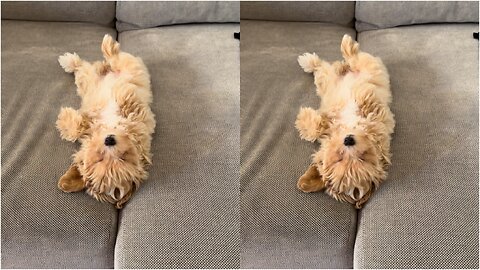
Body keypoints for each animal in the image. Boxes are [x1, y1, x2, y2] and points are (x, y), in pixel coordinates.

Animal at [55, 34, 156, 209]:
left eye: (123, 157)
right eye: (99, 158)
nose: (109, 140)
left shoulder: (139, 117)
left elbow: (126, 99)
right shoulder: (91, 121)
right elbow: (80, 127)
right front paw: (65, 119)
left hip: (126, 65)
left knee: (114, 61)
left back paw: (107, 48)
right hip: (87, 81)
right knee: (85, 67)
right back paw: (73, 60)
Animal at [296, 34, 394, 209]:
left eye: (362, 157)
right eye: (339, 158)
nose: (348, 140)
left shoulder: (379, 118)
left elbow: (366, 101)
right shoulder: (330, 121)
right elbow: (319, 127)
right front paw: (305, 119)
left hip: (368, 65)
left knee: (353, 61)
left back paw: (345, 48)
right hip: (326, 81)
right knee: (324, 67)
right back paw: (312, 60)